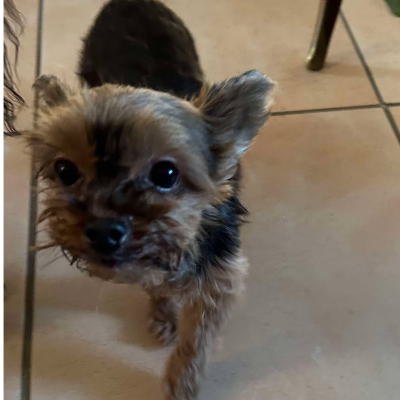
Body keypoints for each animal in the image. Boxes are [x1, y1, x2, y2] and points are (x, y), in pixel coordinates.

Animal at [27, 0, 274, 398]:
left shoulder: (218, 275)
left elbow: (196, 340)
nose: (103, 230)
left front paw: (181, 383)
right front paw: (162, 313)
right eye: (65, 170)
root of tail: (127, 2)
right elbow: (153, 283)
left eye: (166, 174)